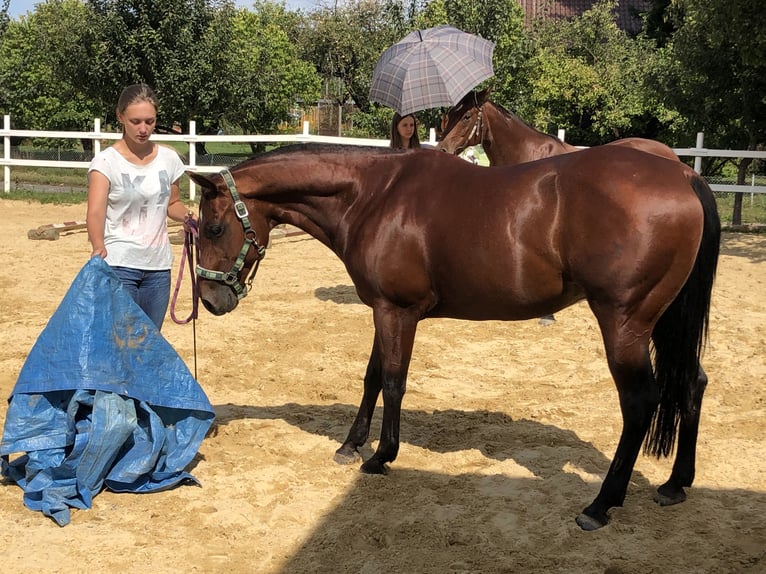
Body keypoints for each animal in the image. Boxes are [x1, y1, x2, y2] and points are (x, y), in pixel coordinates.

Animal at [188, 142, 720, 531]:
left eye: (213, 227)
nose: (211, 300)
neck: (373, 196)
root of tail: (682, 175)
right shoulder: (384, 310)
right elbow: (372, 377)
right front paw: (351, 444)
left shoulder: (397, 312)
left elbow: (394, 381)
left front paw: (381, 456)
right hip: (666, 322)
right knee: (691, 384)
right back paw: (676, 484)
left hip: (624, 323)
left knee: (640, 401)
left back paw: (601, 504)